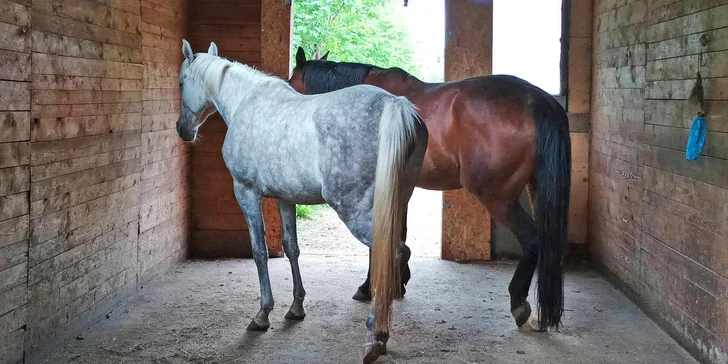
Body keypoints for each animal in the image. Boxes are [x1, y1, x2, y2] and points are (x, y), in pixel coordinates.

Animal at [176, 39, 426, 362]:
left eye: (182, 82)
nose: (183, 129)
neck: (246, 102)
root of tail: (395, 105)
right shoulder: (286, 199)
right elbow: (291, 248)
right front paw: (296, 308)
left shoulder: (246, 192)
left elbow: (259, 251)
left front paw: (262, 314)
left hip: (358, 213)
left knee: (393, 254)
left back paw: (376, 335)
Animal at [288, 47, 572, 332]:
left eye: (291, 84)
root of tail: (538, 101)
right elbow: (397, 231)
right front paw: (398, 283)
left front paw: (370, 287)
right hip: (535, 192)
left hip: (498, 197)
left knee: (532, 239)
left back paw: (518, 303)